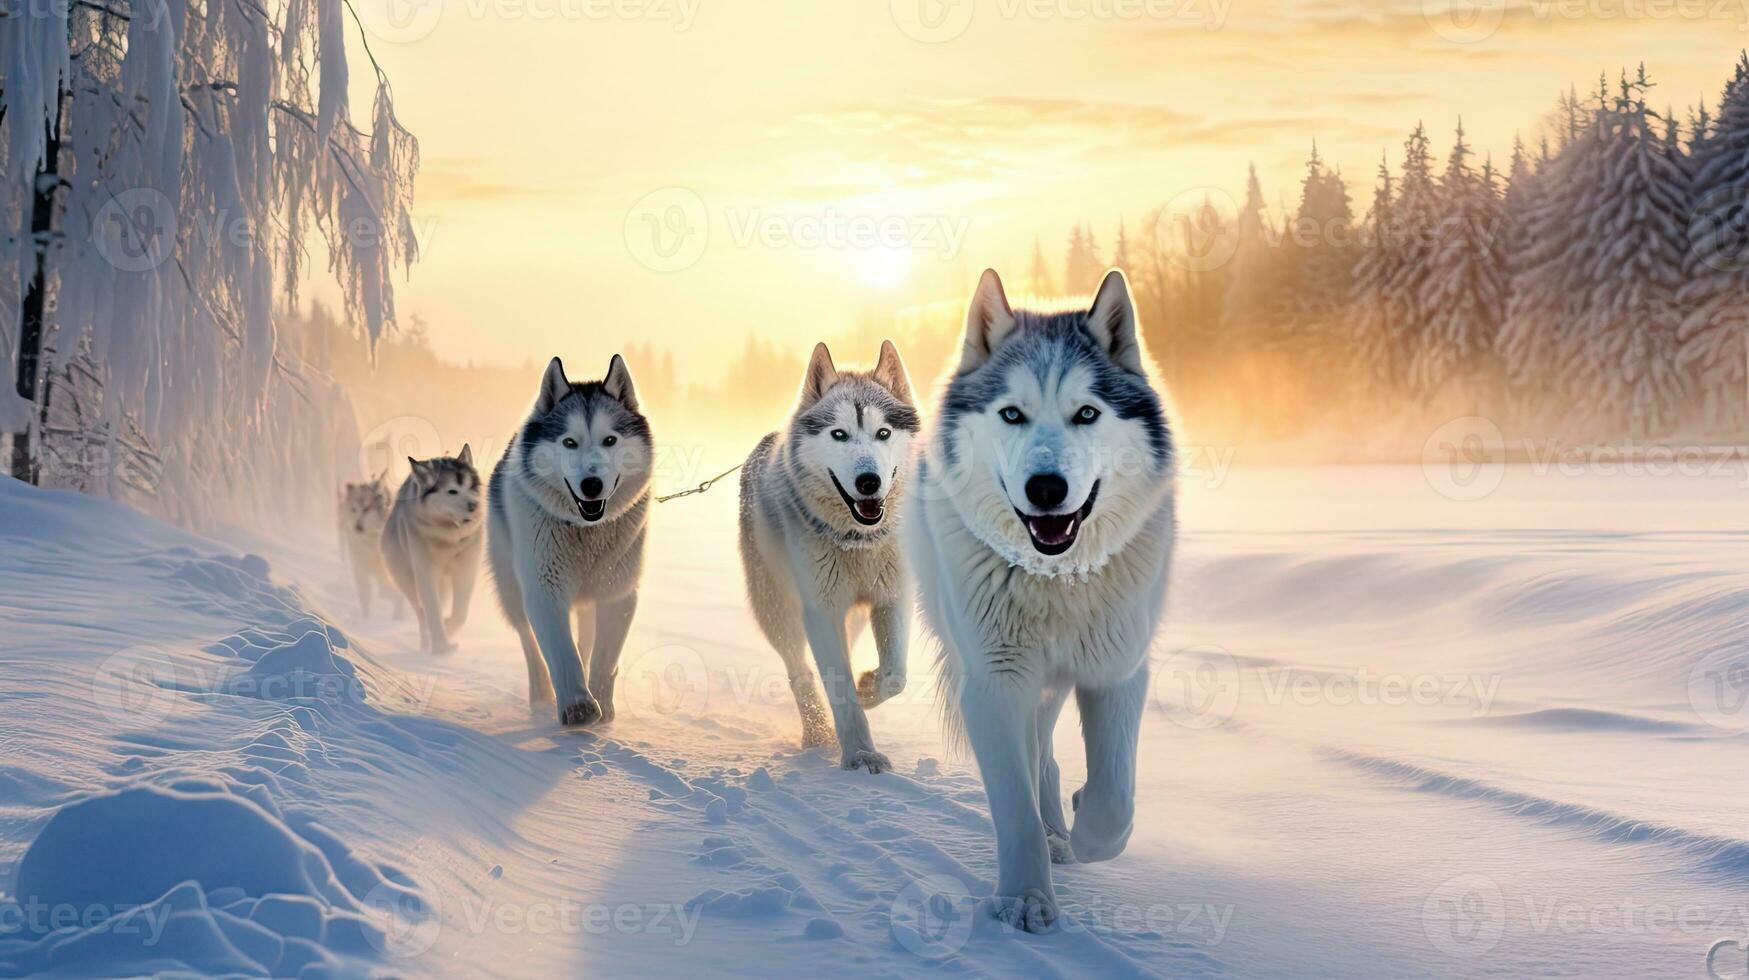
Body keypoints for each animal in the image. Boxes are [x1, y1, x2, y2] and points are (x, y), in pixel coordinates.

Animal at [383, 448, 486, 654]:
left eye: (471, 487)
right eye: (452, 491)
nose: (474, 505)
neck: (449, 537)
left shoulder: (467, 569)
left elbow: (460, 613)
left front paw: (449, 628)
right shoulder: (426, 573)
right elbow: (432, 612)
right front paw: (441, 646)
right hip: (406, 579)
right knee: (420, 612)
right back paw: (426, 642)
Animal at [486, 355, 650, 724]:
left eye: (610, 440)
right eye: (569, 442)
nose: (592, 484)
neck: (584, 531)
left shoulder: (617, 592)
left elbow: (604, 657)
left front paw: (601, 703)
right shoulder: (543, 588)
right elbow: (561, 650)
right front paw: (578, 706)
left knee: (585, 641)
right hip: (511, 588)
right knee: (528, 641)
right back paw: (540, 693)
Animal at [738, 343, 923, 773]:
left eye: (883, 433)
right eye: (838, 434)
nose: (869, 482)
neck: (857, 541)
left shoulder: (892, 598)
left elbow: (895, 675)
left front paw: (868, 687)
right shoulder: (820, 612)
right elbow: (836, 685)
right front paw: (861, 754)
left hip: (850, 618)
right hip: (777, 610)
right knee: (799, 670)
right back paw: (817, 731)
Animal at [902, 269, 1175, 931]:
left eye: (1086, 413)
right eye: (1012, 414)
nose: (1046, 488)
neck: (1057, 579)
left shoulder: (1117, 672)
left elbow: (1114, 799)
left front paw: (1085, 836)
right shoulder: (995, 684)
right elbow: (1014, 804)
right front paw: (1026, 898)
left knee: (1048, 756)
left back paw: (1062, 832)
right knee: (1035, 759)